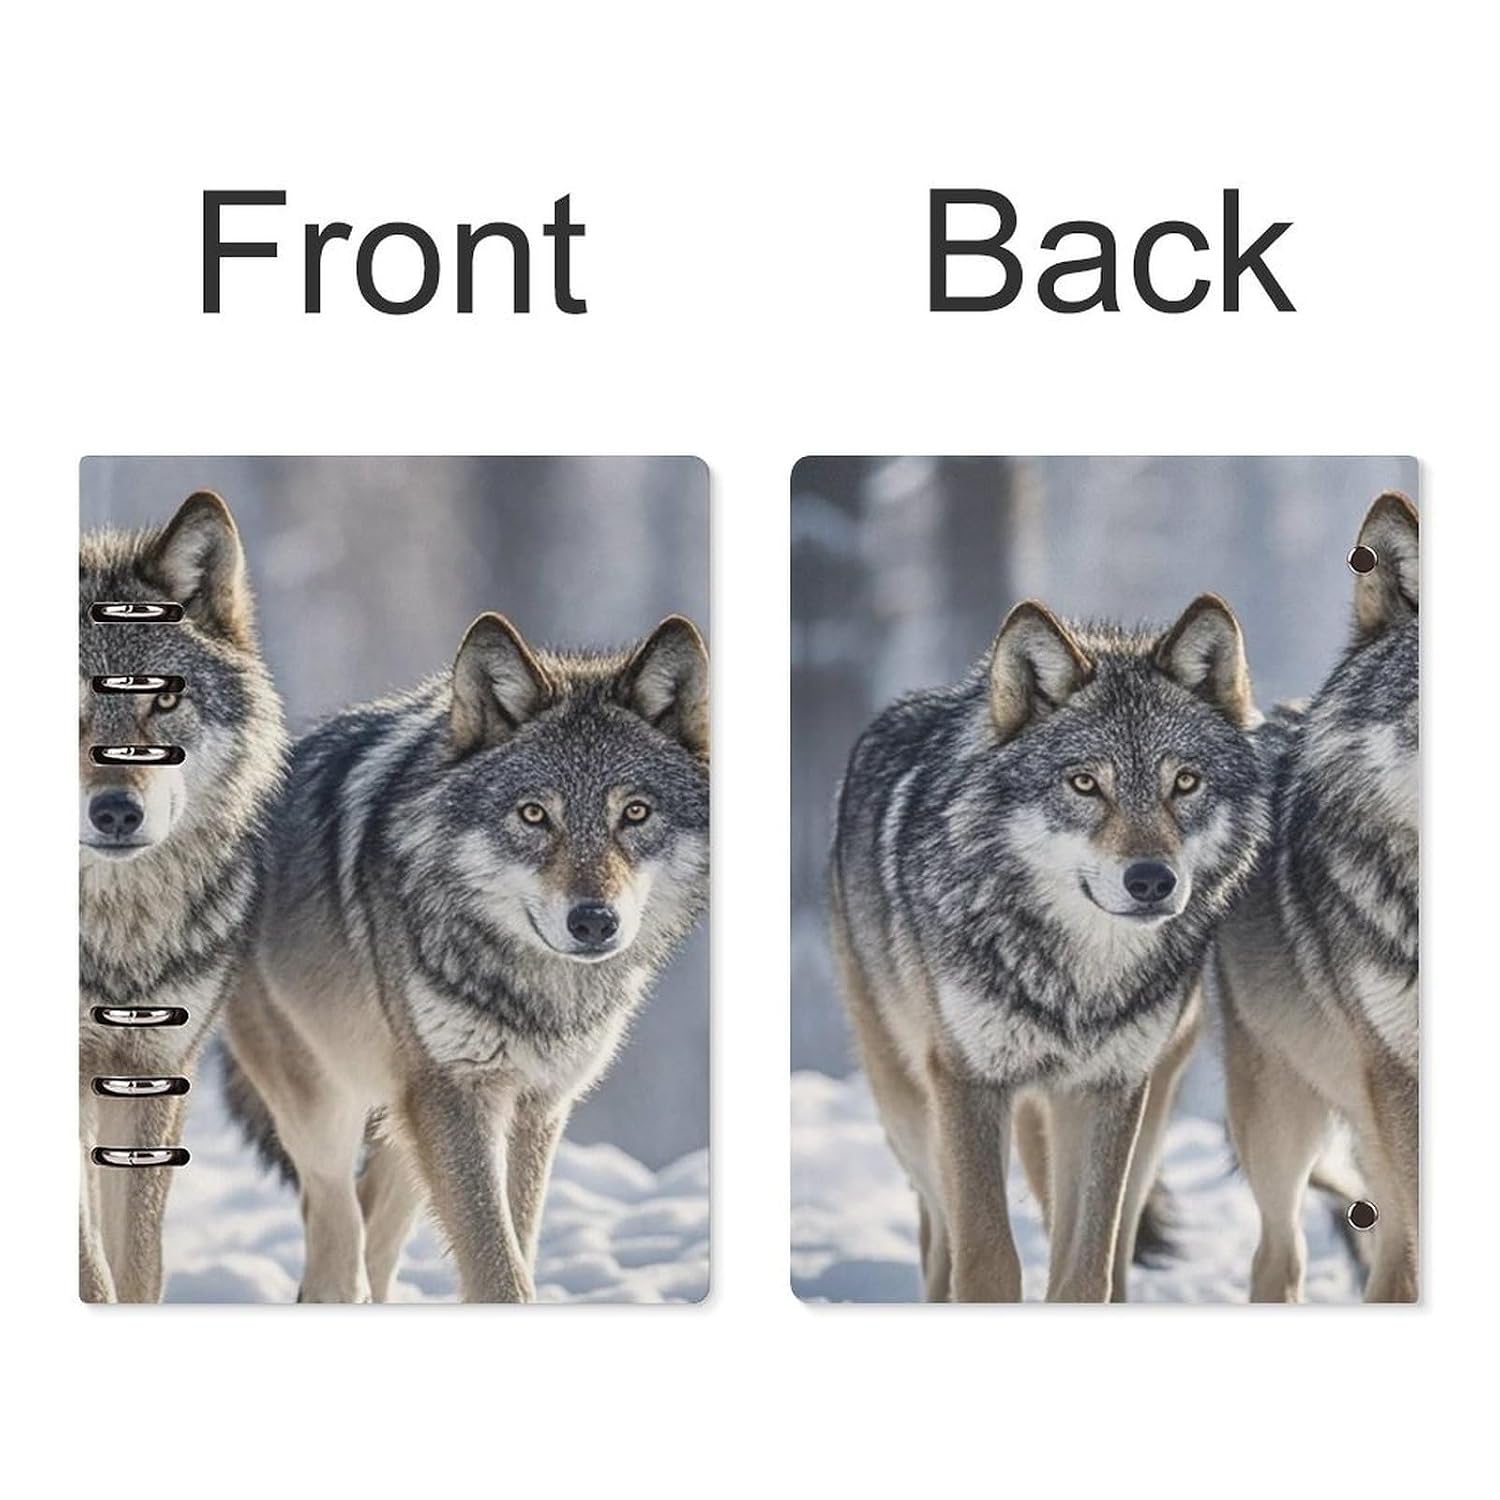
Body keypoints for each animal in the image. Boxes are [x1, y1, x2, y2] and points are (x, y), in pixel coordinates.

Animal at [223, 612, 709, 1302]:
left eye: (635, 813)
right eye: (534, 814)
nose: (594, 921)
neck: (536, 991)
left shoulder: (537, 1106)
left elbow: (516, 1243)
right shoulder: (455, 1094)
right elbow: (496, 1267)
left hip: (405, 1120)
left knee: (374, 1231)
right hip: (328, 1112)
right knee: (335, 1238)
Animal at [832, 595, 1267, 1301]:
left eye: (1185, 782)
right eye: (1085, 783)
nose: (1152, 880)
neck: (1076, 980)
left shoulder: (1109, 1089)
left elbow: (1087, 1270)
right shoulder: (969, 1081)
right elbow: (986, 1261)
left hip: (1138, 1119)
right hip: (909, 1110)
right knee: (940, 1239)